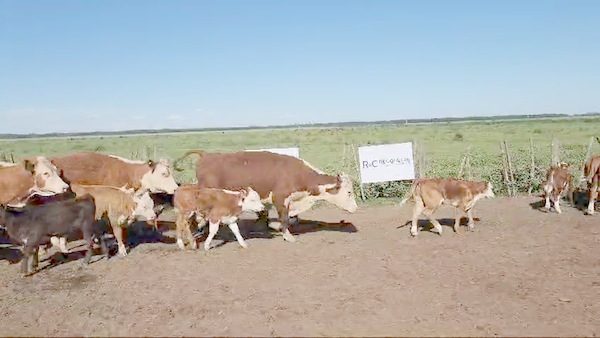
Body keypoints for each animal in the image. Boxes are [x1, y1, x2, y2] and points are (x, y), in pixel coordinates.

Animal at [177, 151, 356, 243]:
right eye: (348, 192)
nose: (355, 208)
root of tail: (207, 155)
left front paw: (272, 226)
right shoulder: (280, 199)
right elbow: (284, 218)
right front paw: (287, 235)